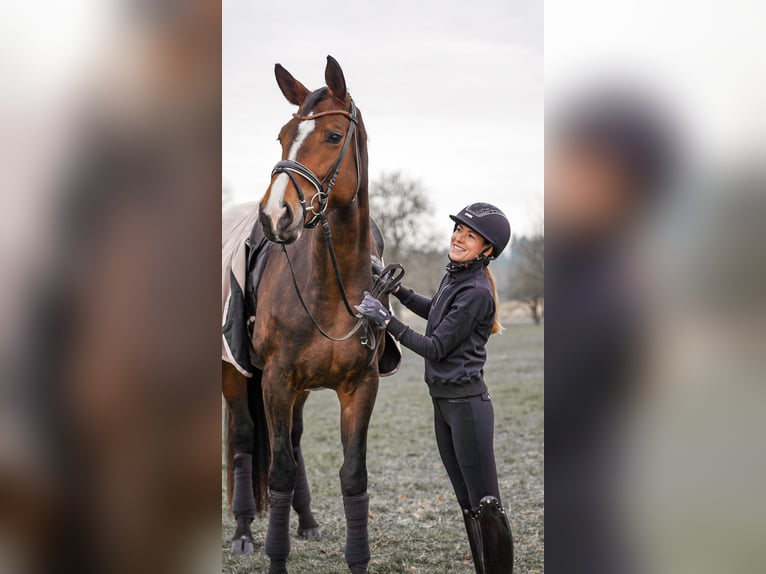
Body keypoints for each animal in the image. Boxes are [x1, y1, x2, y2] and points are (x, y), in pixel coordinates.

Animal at [222, 55, 390, 574]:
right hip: (237, 375)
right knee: (244, 439)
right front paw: (274, 554)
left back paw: (308, 520)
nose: (276, 216)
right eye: (282, 135)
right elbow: (276, 470)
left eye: (333, 137)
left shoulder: (359, 387)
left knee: (293, 440)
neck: (331, 288)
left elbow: (353, 475)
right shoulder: (275, 379)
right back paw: (243, 530)